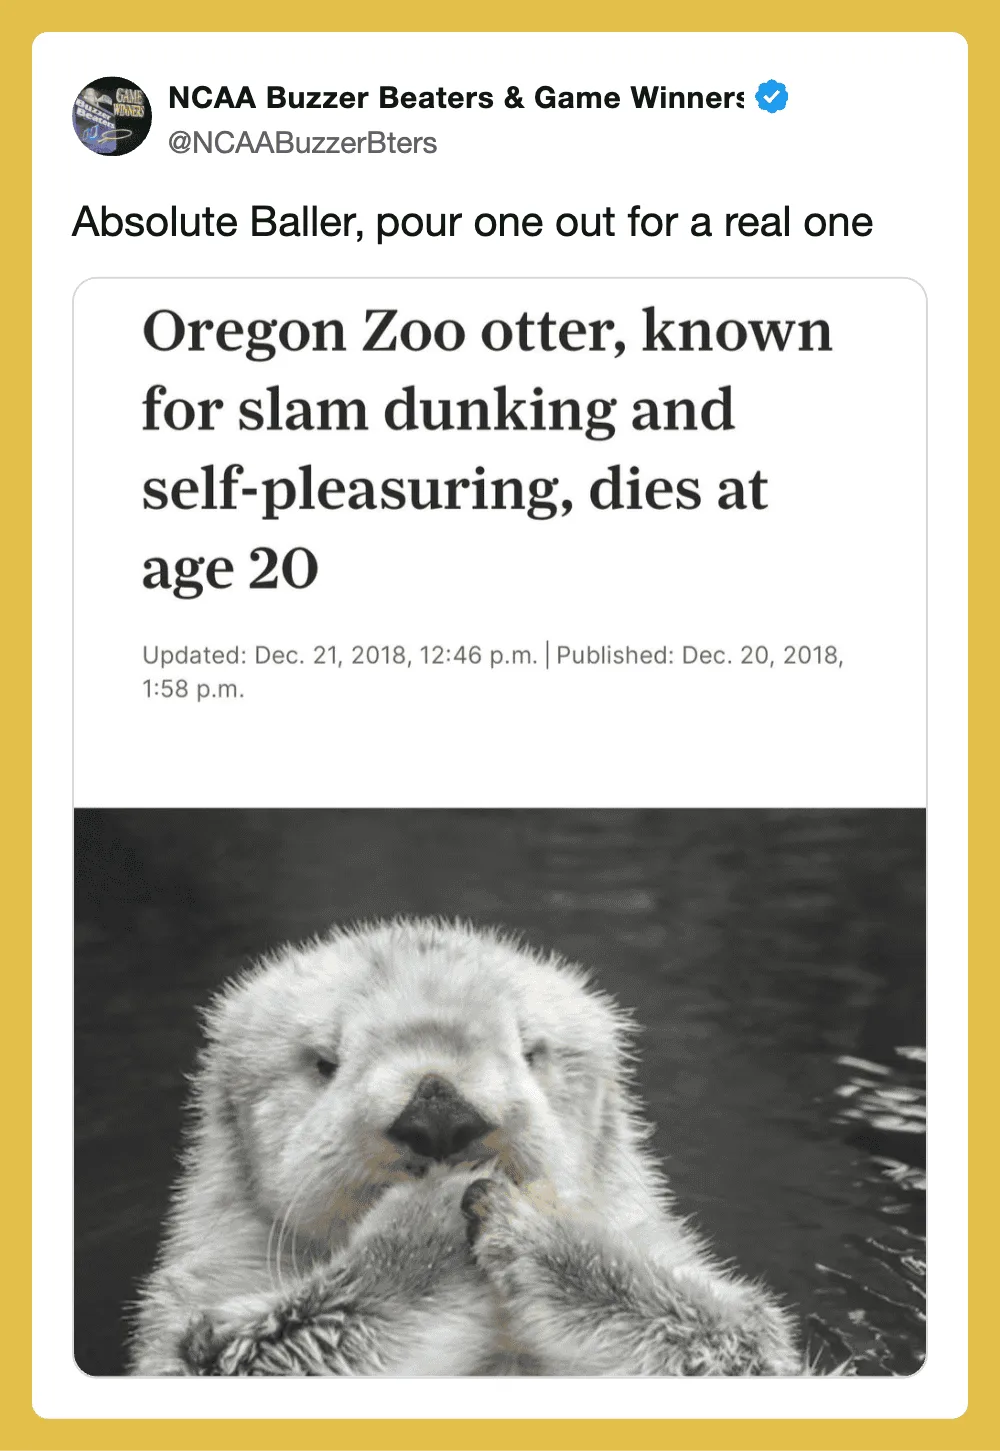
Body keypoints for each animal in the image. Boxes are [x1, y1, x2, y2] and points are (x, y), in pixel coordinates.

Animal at [130, 919, 801, 1376]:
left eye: (530, 1049)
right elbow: (226, 1351)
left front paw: (539, 1234)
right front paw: (423, 1236)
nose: (438, 1113)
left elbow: (741, 1341)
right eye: (325, 1061)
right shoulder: (195, 1299)